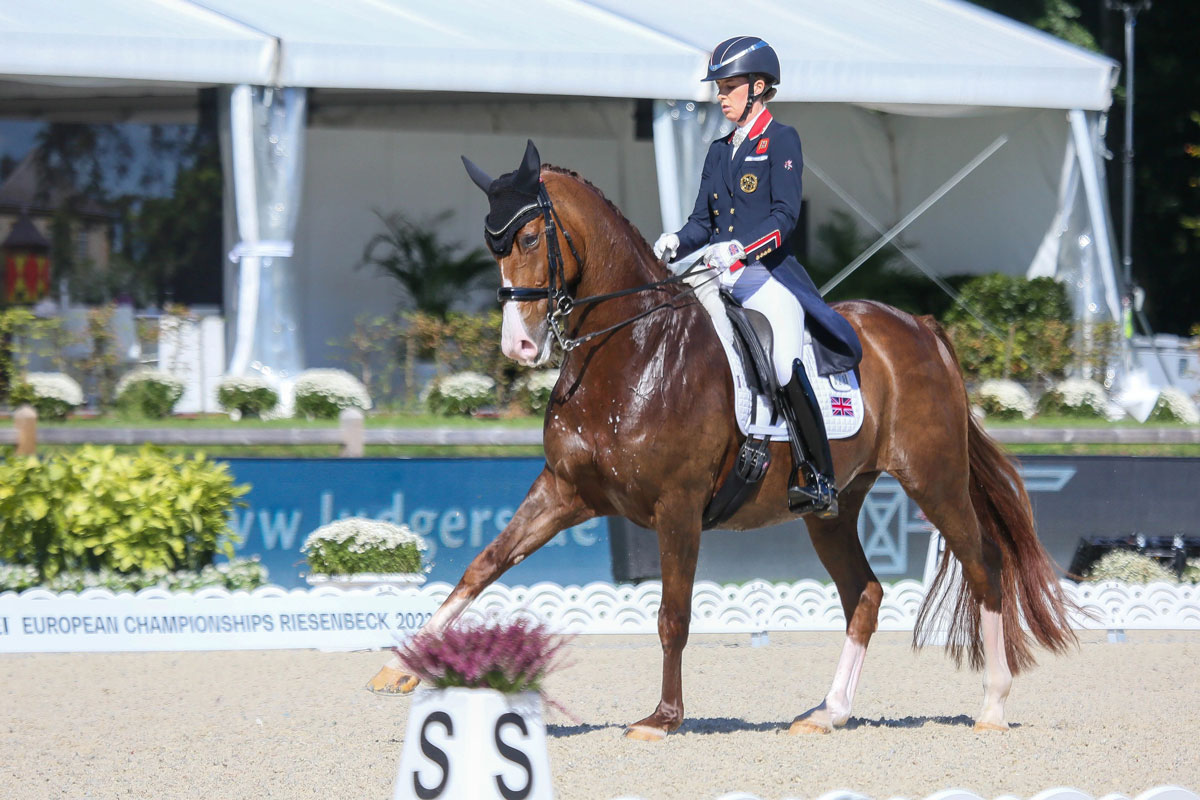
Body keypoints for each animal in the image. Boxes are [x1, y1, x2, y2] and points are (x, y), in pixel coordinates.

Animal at [367, 145, 1080, 743]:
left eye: (532, 237)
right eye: (492, 247)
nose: (519, 346)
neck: (631, 349)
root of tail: (921, 326)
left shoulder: (677, 506)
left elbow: (672, 615)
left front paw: (662, 718)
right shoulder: (565, 491)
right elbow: (483, 565)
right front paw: (404, 666)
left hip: (934, 479)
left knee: (985, 566)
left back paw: (993, 704)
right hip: (834, 507)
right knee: (865, 595)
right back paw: (829, 712)